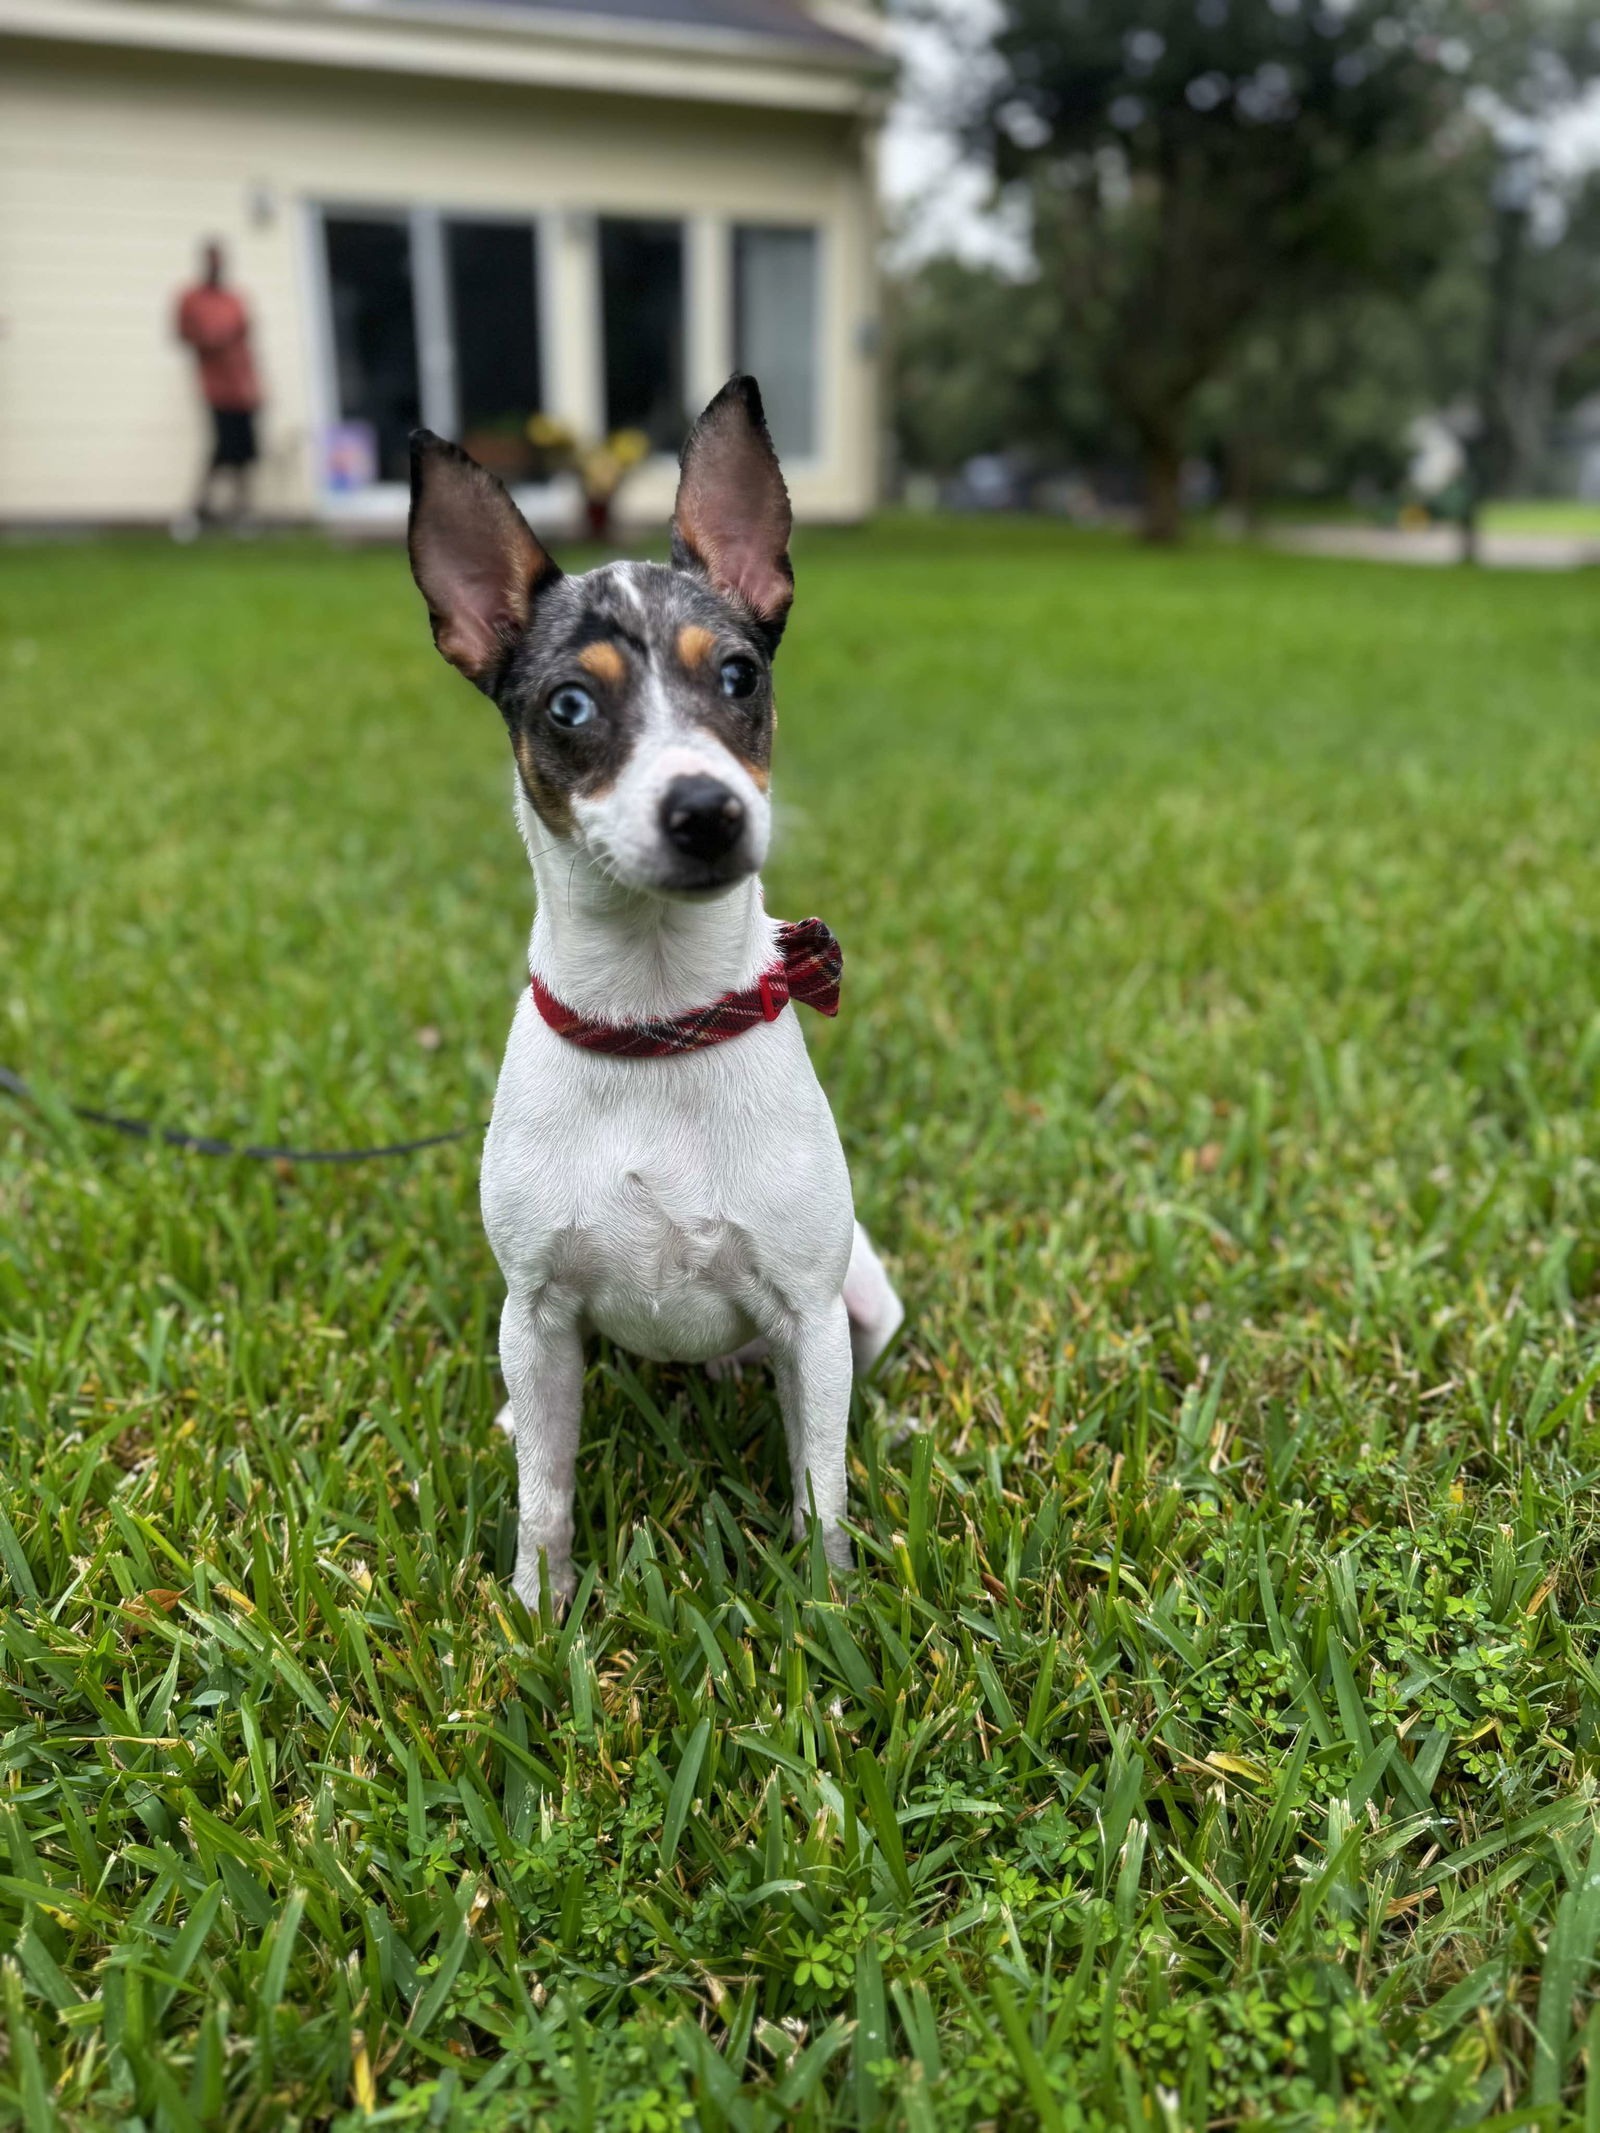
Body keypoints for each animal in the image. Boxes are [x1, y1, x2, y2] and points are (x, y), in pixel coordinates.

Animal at [409, 375, 904, 1604]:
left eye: (739, 675)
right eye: (569, 708)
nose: (706, 810)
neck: (658, 1021)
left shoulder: (811, 1316)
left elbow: (820, 1487)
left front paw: (826, 1607)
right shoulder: (538, 1311)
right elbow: (545, 1493)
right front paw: (538, 1610)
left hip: (865, 1301)